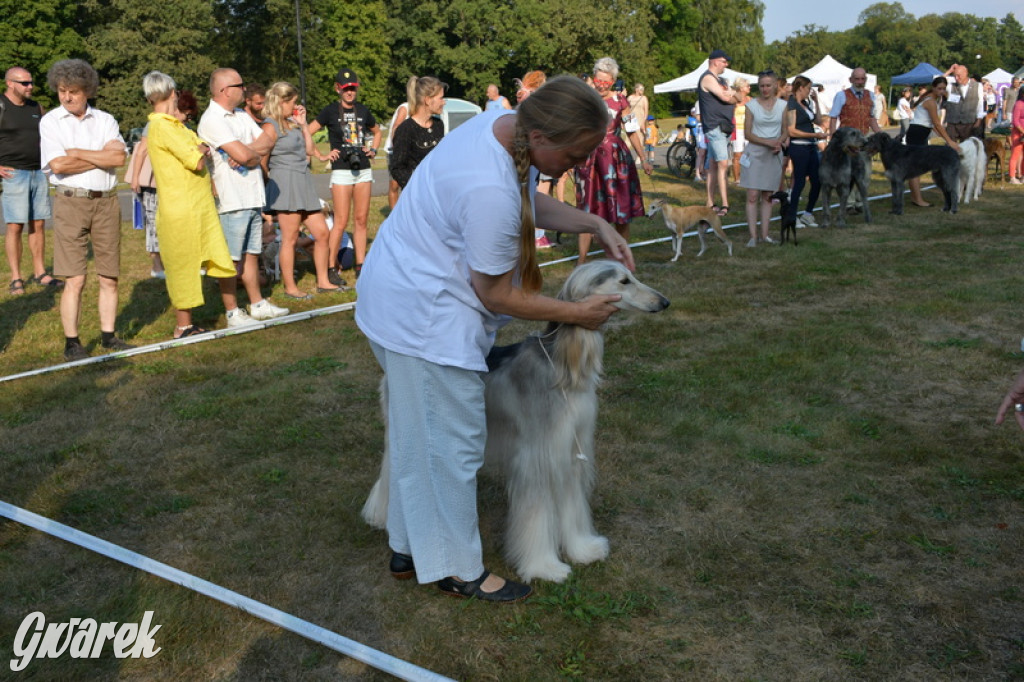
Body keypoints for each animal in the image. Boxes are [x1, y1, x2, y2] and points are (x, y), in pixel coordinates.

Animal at [362, 259, 671, 577]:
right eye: (624, 282)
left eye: (632, 275)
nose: (664, 302)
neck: (562, 365)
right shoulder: (537, 456)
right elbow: (537, 515)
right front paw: (545, 566)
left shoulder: (569, 451)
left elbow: (572, 505)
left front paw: (582, 549)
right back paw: (382, 517)